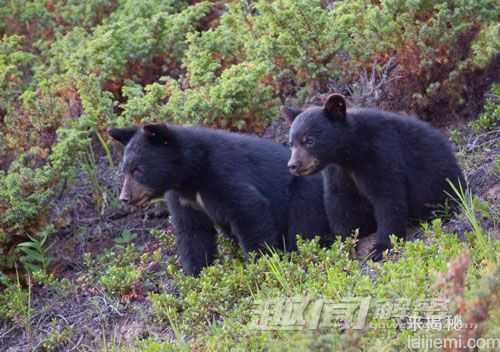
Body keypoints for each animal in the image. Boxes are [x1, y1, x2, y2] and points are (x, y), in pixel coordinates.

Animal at [107, 124, 330, 276]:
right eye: (124, 170)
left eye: (138, 170)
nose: (124, 197)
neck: (190, 175)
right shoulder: (183, 199)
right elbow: (193, 232)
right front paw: (197, 274)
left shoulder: (223, 173)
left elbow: (249, 210)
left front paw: (261, 264)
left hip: (305, 192)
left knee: (304, 223)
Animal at [284, 95, 466, 260]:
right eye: (291, 143)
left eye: (309, 140)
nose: (293, 165)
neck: (351, 155)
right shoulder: (338, 171)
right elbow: (339, 203)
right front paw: (343, 245)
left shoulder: (381, 155)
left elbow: (388, 199)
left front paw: (380, 248)